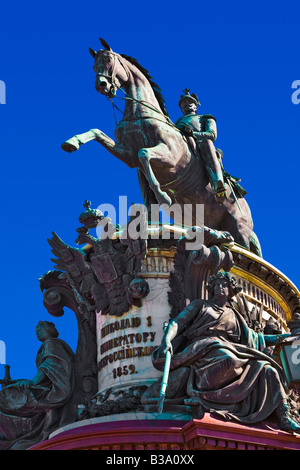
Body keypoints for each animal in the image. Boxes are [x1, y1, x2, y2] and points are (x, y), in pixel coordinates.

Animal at [61, 38, 260, 255]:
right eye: (93, 66)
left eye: (108, 60)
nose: (102, 85)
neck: (140, 112)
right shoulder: (127, 155)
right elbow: (97, 132)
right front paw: (72, 142)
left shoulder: (171, 156)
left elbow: (144, 154)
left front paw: (163, 196)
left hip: (238, 228)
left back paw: (220, 190)